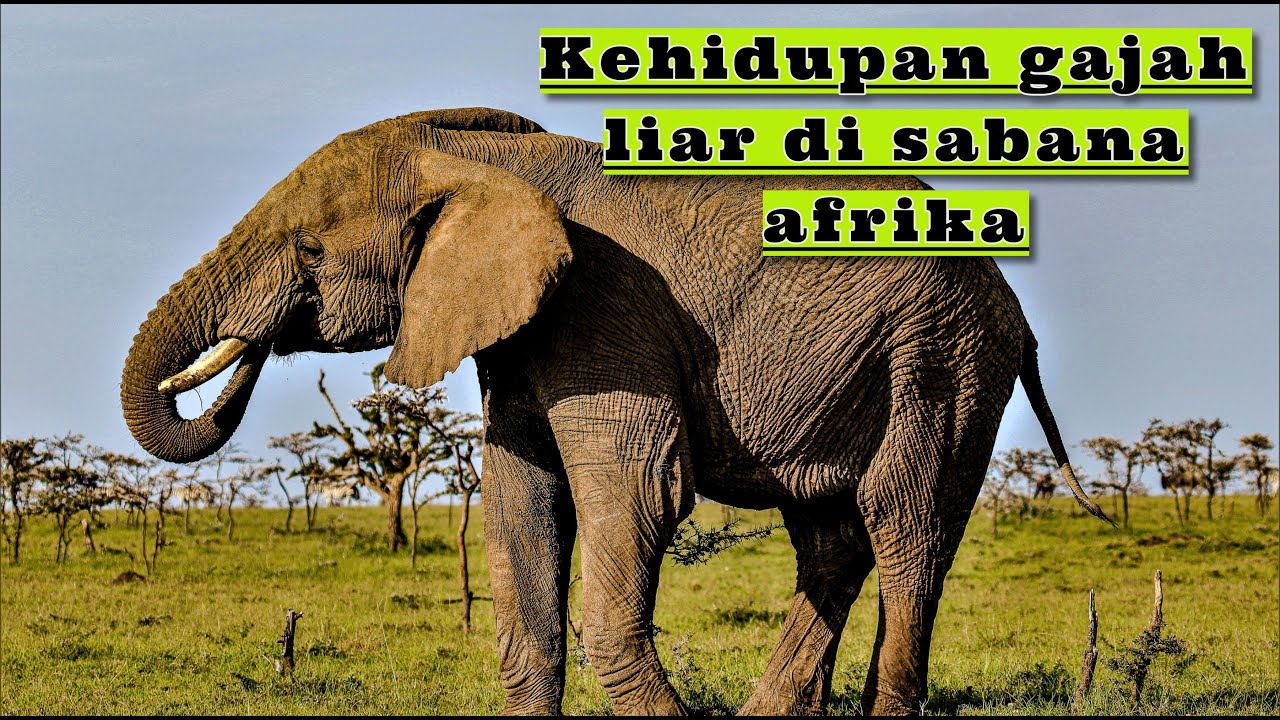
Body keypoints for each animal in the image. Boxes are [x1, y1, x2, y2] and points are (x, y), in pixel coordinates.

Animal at [120, 107, 1109, 715]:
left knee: (906, 533)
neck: (480, 157)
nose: (259, 340)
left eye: (309, 251)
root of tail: (1016, 315)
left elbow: (635, 495)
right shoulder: (525, 334)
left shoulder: (606, 312)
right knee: (832, 538)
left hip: (939, 360)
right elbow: (519, 505)